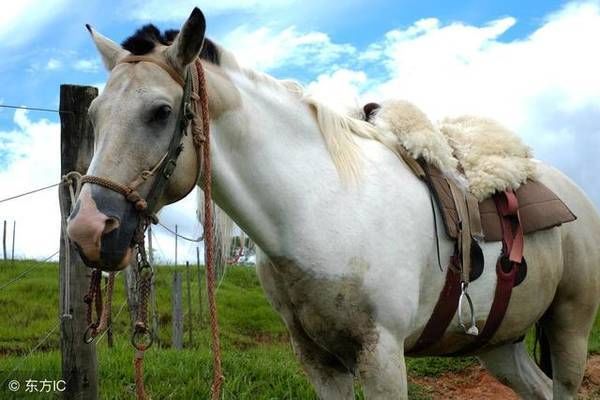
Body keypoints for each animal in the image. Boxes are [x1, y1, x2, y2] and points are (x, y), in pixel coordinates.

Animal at [68, 7, 600, 398]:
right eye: (94, 114)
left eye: (160, 112)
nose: (88, 232)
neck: (320, 208)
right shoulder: (319, 361)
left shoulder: (383, 358)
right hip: (501, 341)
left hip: (570, 326)